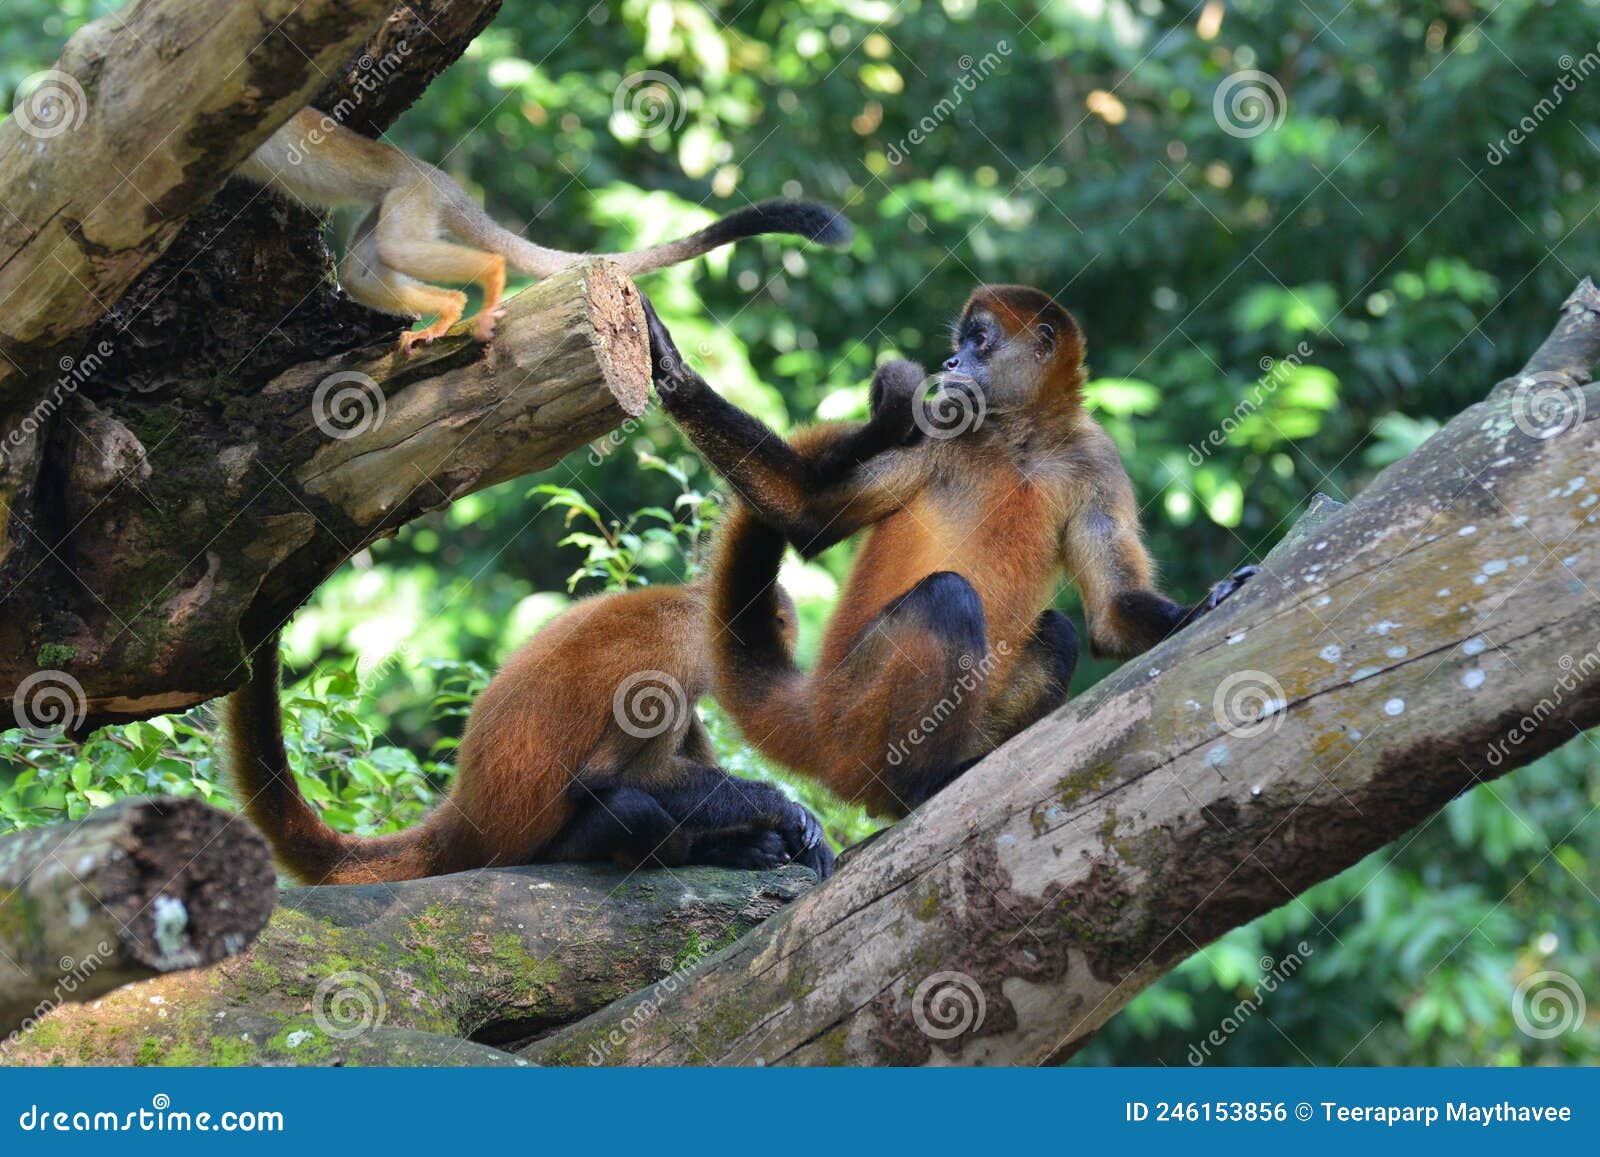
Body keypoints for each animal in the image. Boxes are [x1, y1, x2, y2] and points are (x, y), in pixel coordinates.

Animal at [236, 108, 851, 353]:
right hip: (397, 201)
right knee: (364, 270)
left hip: (413, 197)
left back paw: (474, 292)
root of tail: (436, 176)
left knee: (397, 247)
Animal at [643, 284, 1254, 819]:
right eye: (960, 343)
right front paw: (670, 370)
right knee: (947, 597)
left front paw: (1208, 603)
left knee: (1057, 629)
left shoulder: (1095, 461)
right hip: (854, 715)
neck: (1020, 441)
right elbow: (804, 513)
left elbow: (1109, 615)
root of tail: (812, 709)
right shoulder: (941, 426)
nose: (952, 362)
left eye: (979, 341)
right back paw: (919, 786)